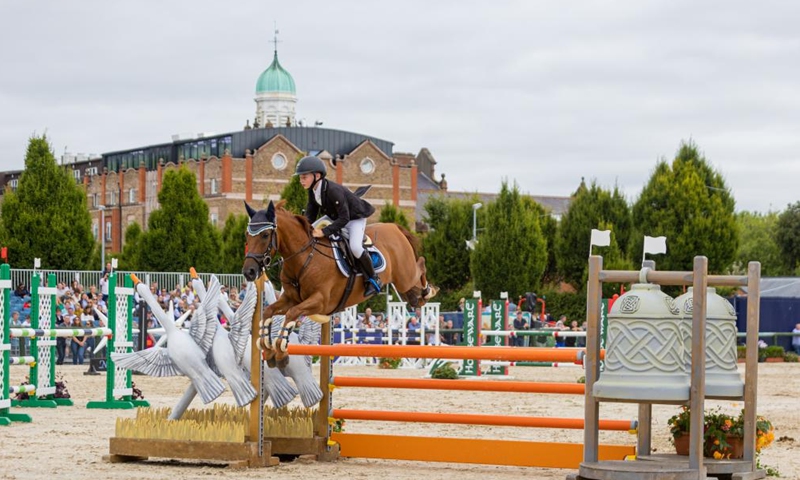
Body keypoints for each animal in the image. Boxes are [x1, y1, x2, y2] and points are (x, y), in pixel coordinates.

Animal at [242, 200, 437, 367]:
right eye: (247, 235)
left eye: (265, 235)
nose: (248, 272)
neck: (305, 257)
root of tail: (394, 227)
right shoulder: (291, 299)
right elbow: (269, 311)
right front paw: (268, 350)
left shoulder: (320, 302)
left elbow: (291, 314)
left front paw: (281, 354)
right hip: (403, 283)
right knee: (413, 291)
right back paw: (418, 298)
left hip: (405, 276)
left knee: (420, 264)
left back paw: (429, 291)